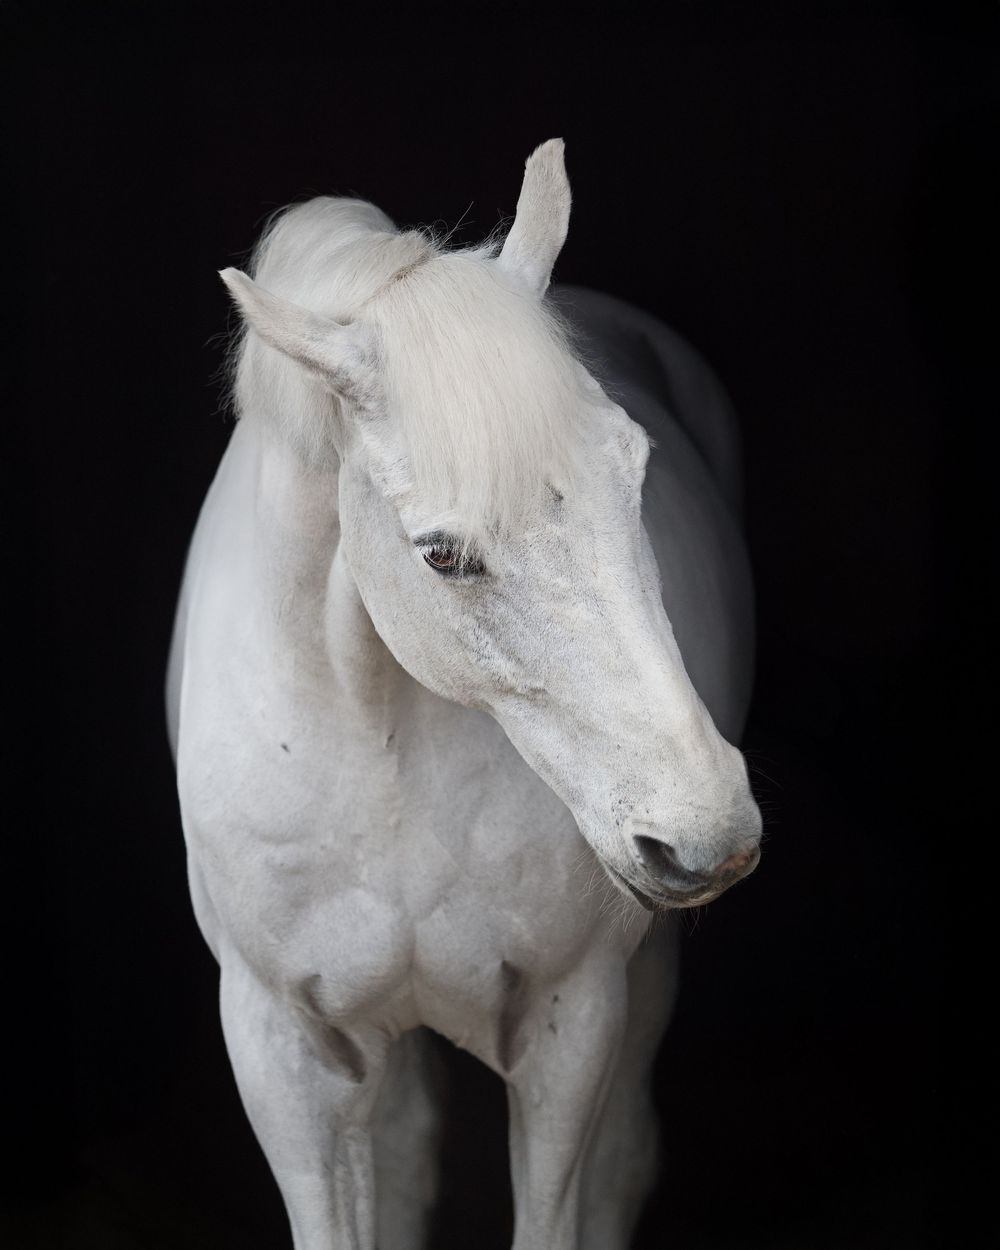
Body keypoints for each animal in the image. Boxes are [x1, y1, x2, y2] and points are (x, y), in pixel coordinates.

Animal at [166, 138, 762, 1250]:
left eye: (637, 467)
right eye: (442, 554)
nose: (709, 833)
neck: (381, 741)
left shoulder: (572, 1027)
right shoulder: (283, 1052)